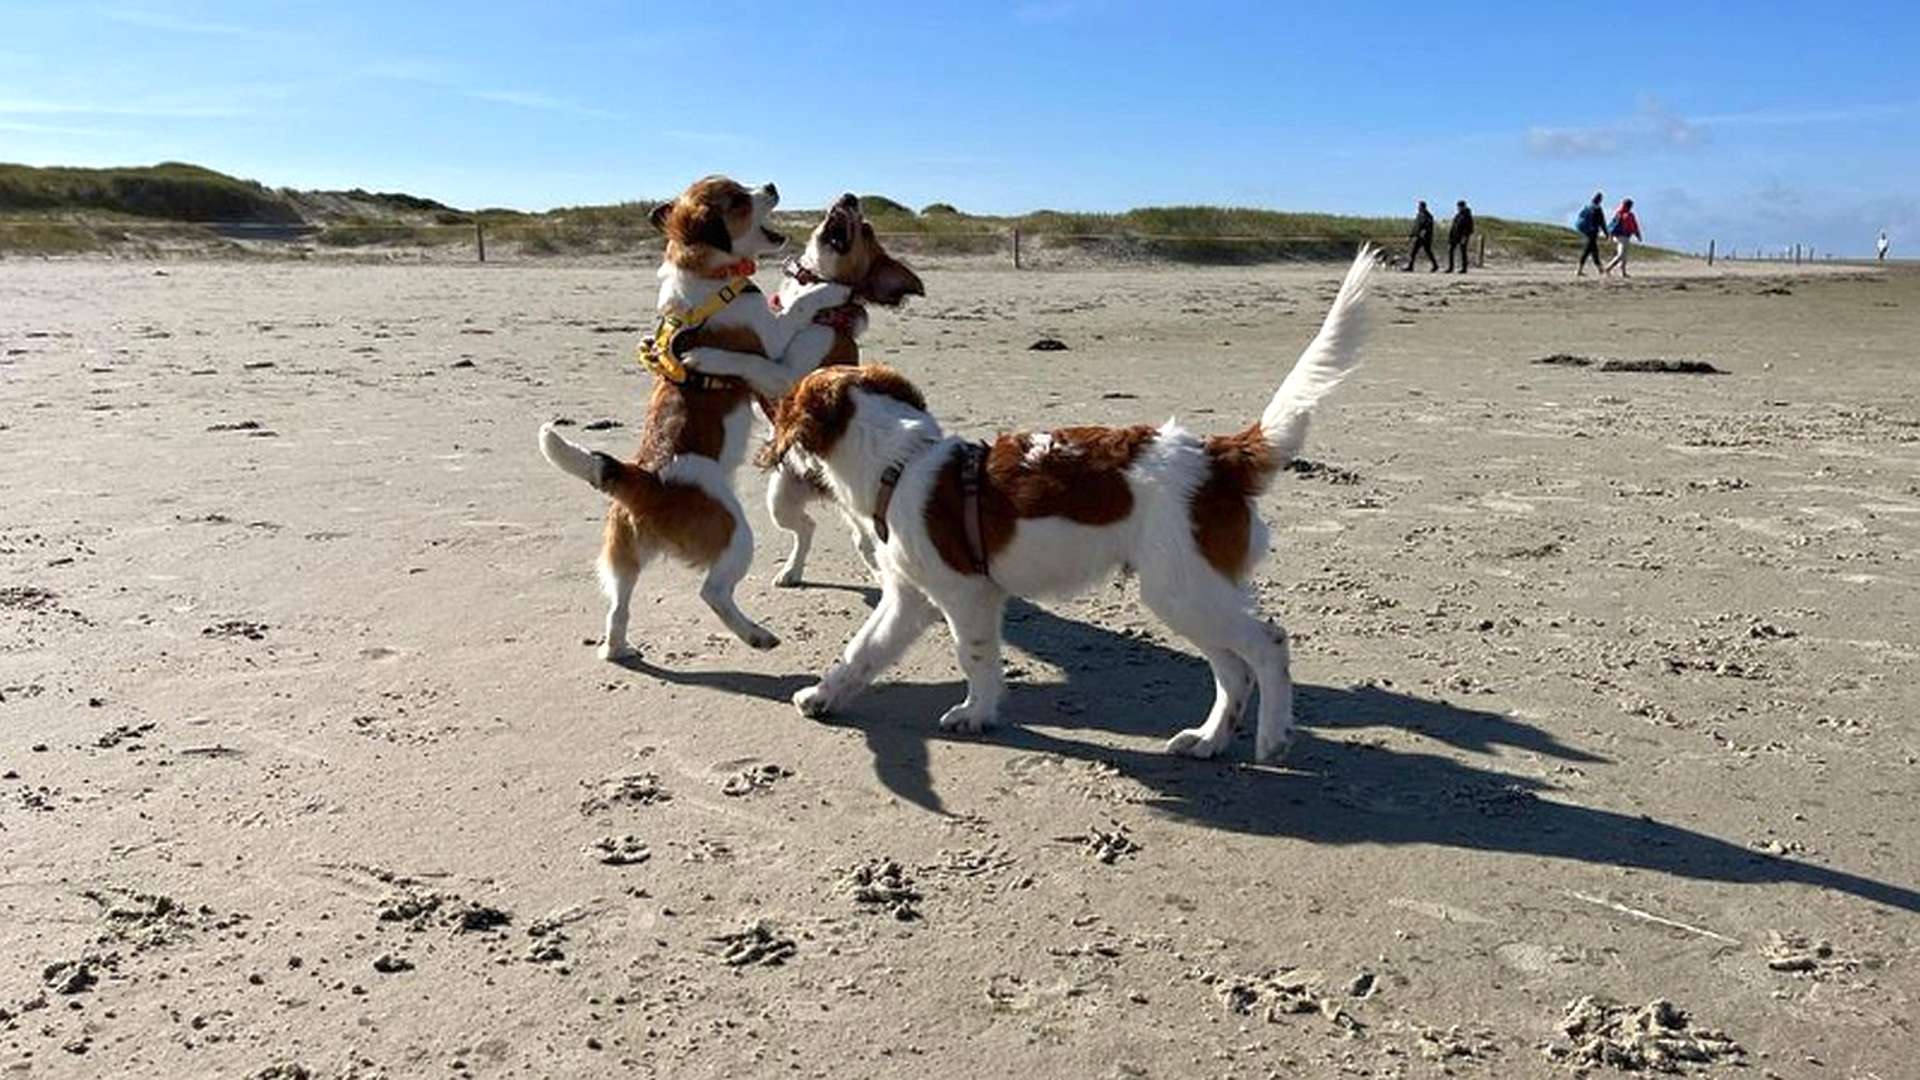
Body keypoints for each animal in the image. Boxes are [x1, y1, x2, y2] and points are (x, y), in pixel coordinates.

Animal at [533, 174, 848, 657]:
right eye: (738, 200)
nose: (772, 184)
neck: (707, 276)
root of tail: (645, 480)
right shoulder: (775, 344)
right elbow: (796, 309)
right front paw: (826, 291)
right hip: (737, 537)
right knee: (712, 592)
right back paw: (756, 635)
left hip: (623, 563)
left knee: (618, 610)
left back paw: (620, 648)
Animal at [756, 193, 921, 580]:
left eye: (867, 229)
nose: (849, 196)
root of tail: (828, 488)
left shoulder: (786, 374)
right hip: (779, 500)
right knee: (806, 528)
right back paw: (792, 571)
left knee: (861, 540)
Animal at [756, 247, 1374, 760]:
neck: (900, 462)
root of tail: (1218, 453)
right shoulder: (909, 598)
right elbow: (862, 650)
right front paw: (822, 695)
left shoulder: (966, 593)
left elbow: (974, 656)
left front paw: (976, 714)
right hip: (1189, 591)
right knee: (1233, 670)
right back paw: (1208, 740)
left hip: (1183, 589)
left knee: (1268, 645)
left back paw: (1272, 738)